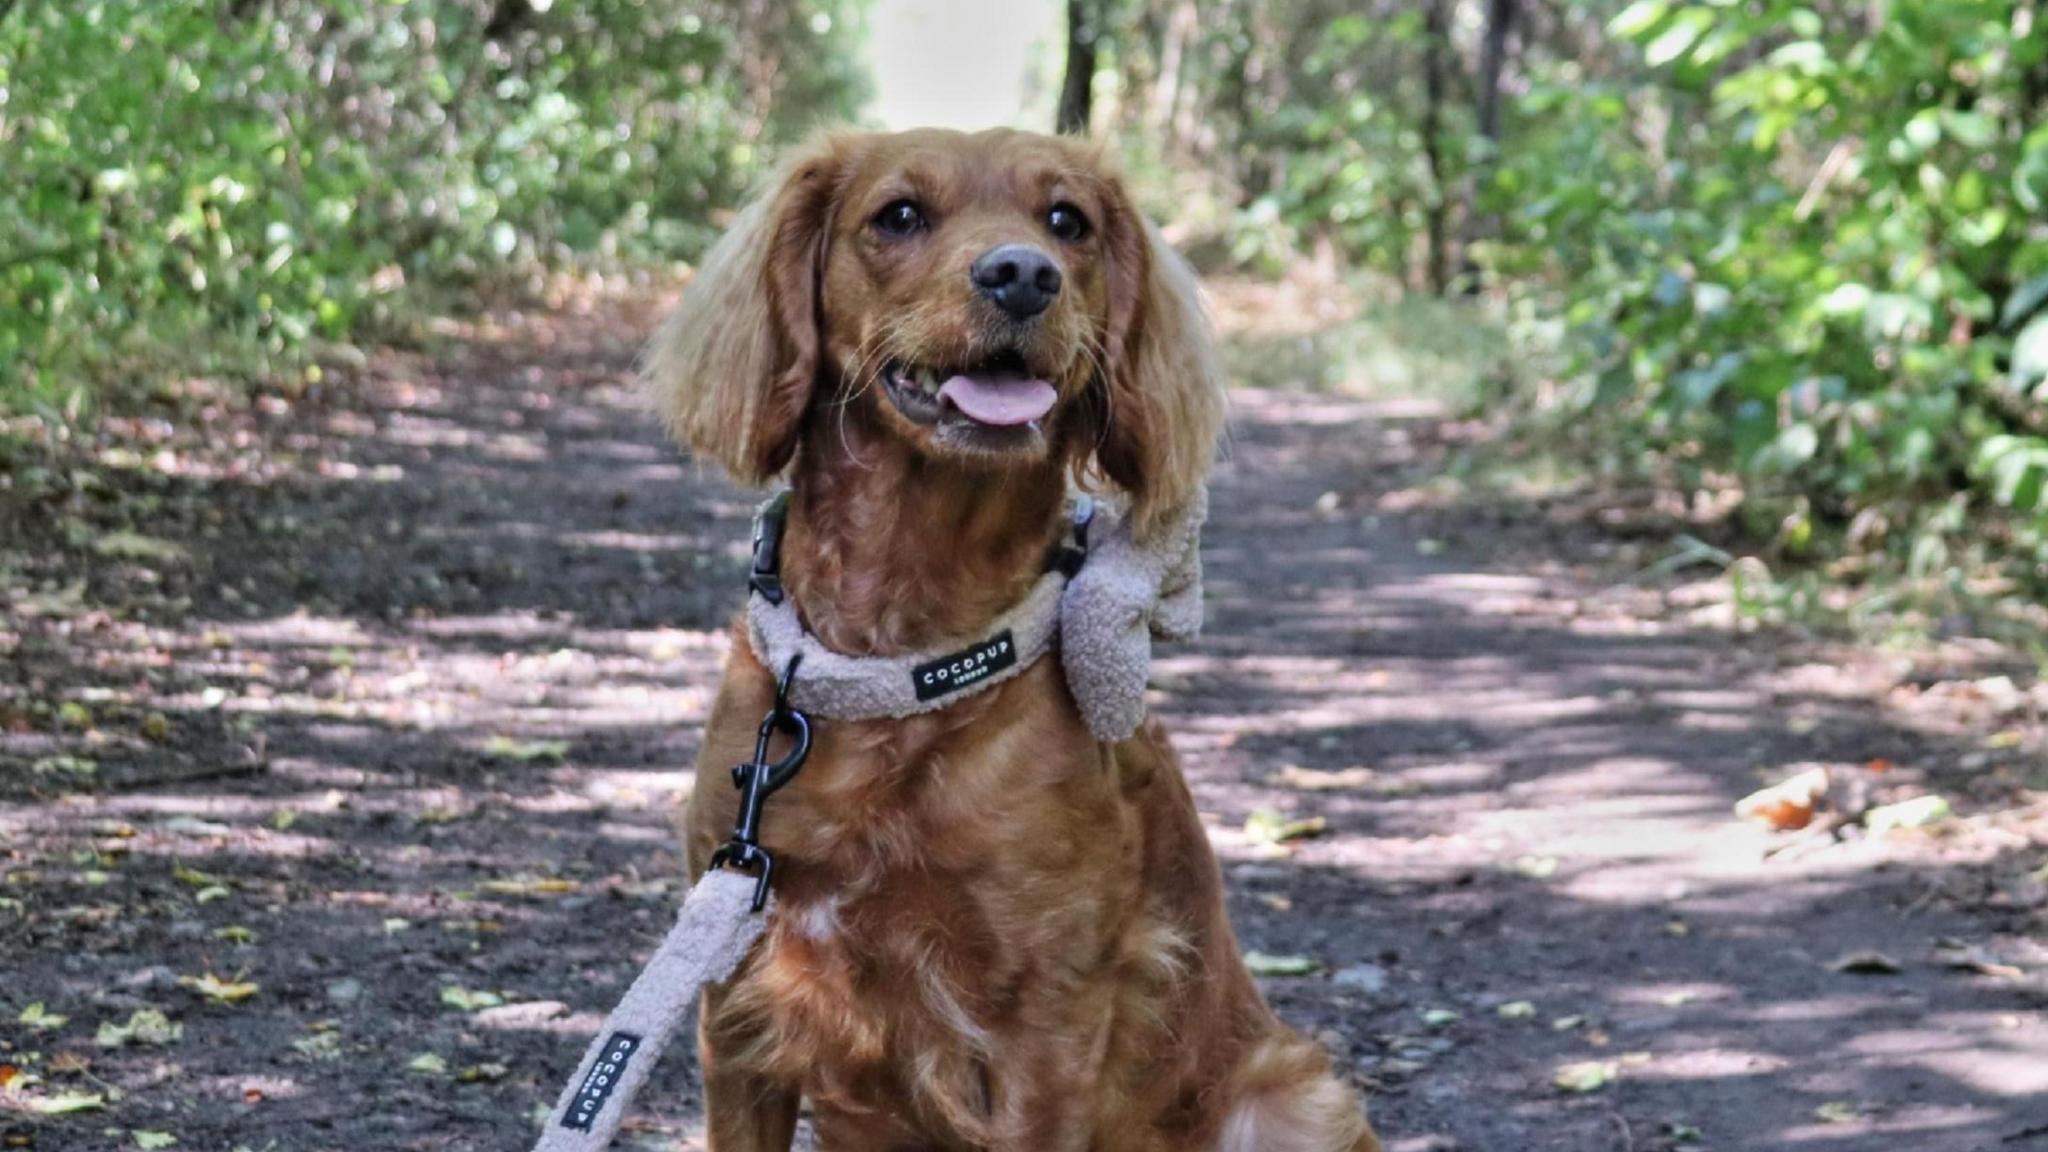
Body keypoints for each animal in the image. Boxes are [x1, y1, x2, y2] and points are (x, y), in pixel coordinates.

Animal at [647, 130, 1376, 1147]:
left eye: (1067, 221)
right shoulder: (736, 1002)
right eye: (898, 215)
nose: (1024, 274)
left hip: (1295, 1098)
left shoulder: (1045, 1032)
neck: (902, 656)